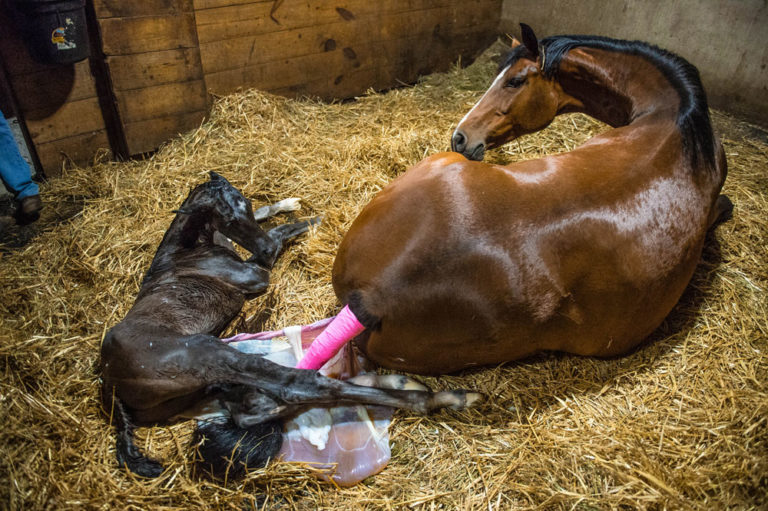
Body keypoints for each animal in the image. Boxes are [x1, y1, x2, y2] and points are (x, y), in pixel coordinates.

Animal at [100, 172, 481, 480]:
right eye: (226, 218)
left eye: (244, 204)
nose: (262, 246)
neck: (186, 248)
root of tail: (110, 384)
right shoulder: (256, 273)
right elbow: (281, 233)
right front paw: (316, 218)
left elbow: (271, 220)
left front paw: (289, 204)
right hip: (205, 352)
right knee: (296, 386)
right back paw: (445, 397)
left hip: (204, 386)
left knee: (251, 408)